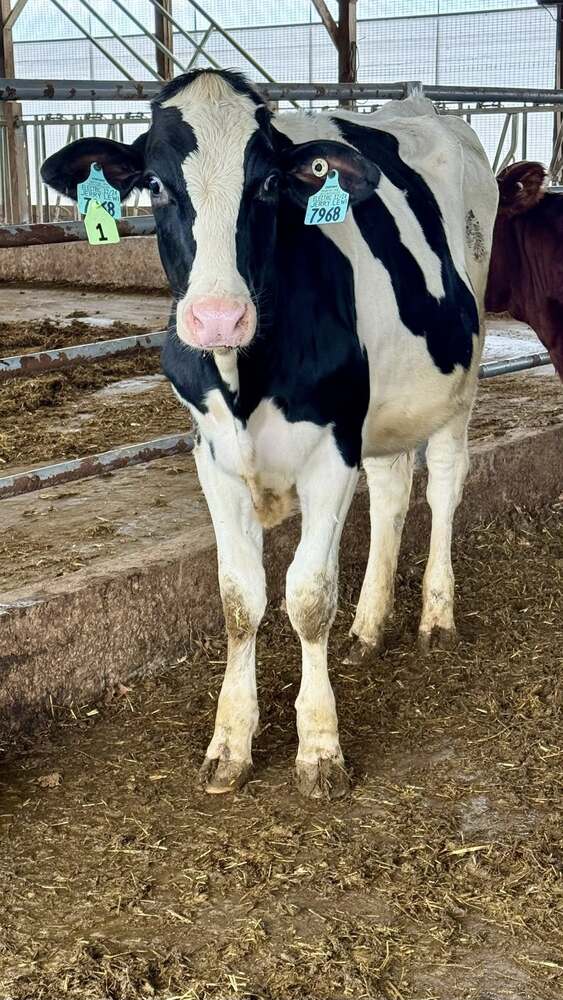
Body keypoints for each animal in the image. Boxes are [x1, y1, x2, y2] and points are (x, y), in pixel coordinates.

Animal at [41, 70, 498, 799]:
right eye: (156, 184)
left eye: (267, 184)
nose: (216, 317)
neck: (244, 380)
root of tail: (421, 104)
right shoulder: (213, 458)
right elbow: (239, 598)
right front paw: (230, 740)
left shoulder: (331, 450)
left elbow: (307, 596)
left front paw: (319, 746)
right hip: (384, 405)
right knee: (393, 490)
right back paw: (369, 626)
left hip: (462, 372)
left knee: (445, 486)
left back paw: (435, 615)